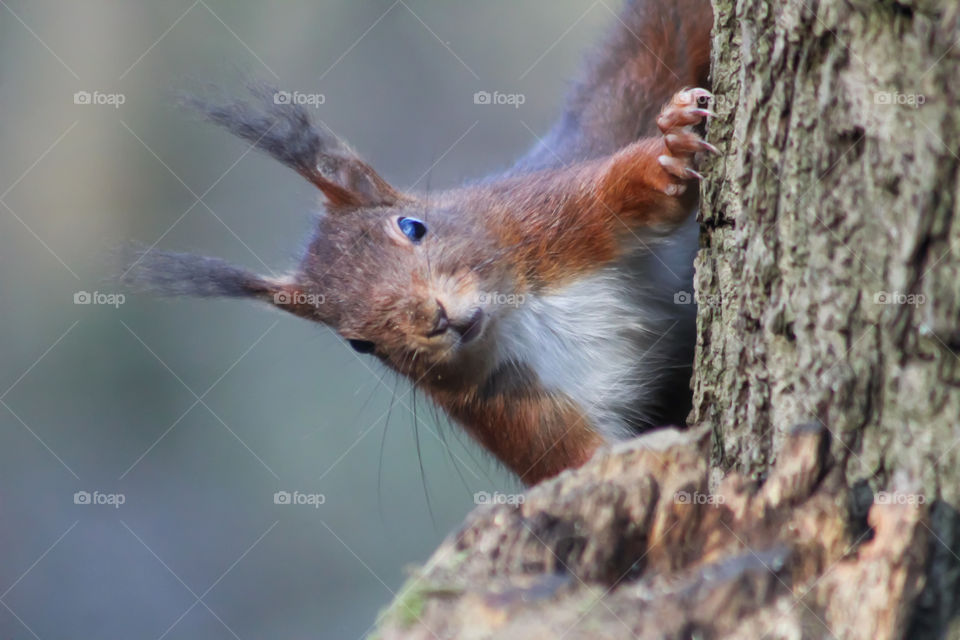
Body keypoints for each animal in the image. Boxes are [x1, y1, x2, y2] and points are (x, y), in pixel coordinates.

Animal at [125, 0, 715, 485]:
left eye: (413, 226)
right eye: (358, 344)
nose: (435, 319)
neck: (516, 315)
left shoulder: (547, 220)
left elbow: (628, 191)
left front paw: (669, 150)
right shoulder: (512, 413)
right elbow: (584, 461)